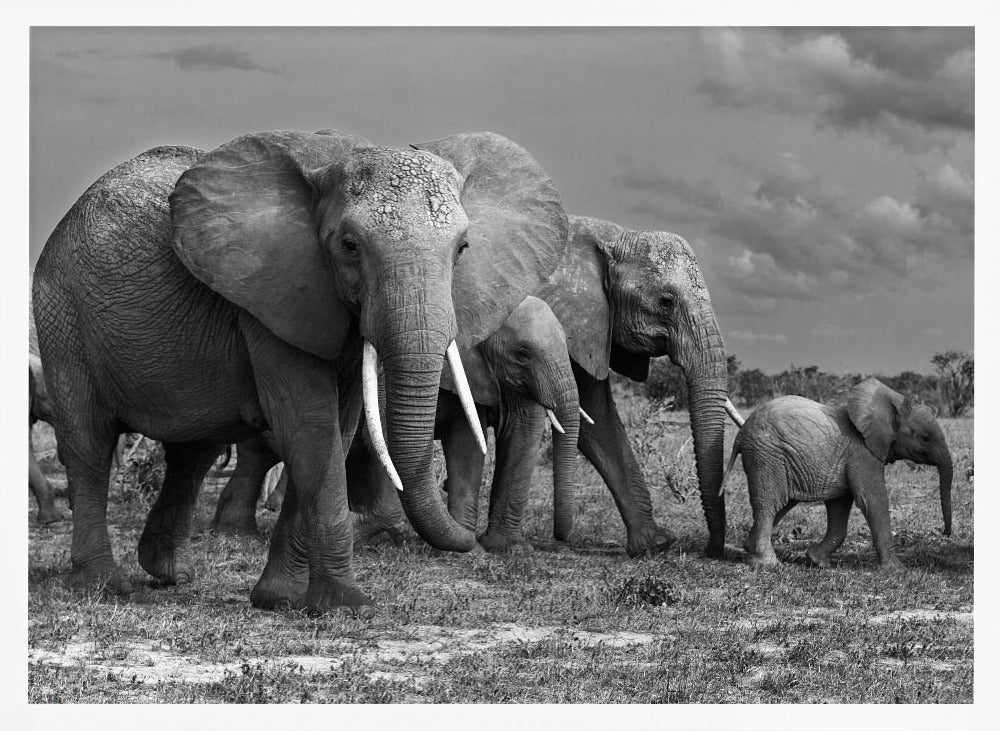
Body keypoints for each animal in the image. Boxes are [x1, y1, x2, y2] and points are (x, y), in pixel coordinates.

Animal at [213, 294, 585, 554]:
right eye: (522, 354)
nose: (562, 539)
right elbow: (384, 441)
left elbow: (467, 444)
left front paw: (473, 548)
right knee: (261, 455)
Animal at [536, 216, 732, 557]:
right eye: (666, 302)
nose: (710, 550)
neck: (609, 237)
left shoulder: (589, 324)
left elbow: (596, 419)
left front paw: (655, 544)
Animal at [720, 377, 953, 569]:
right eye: (925, 438)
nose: (945, 533)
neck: (892, 403)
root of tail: (740, 435)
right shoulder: (862, 453)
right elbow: (872, 501)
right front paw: (897, 571)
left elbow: (839, 506)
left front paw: (817, 561)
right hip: (766, 456)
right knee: (769, 503)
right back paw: (768, 564)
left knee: (783, 503)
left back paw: (749, 548)